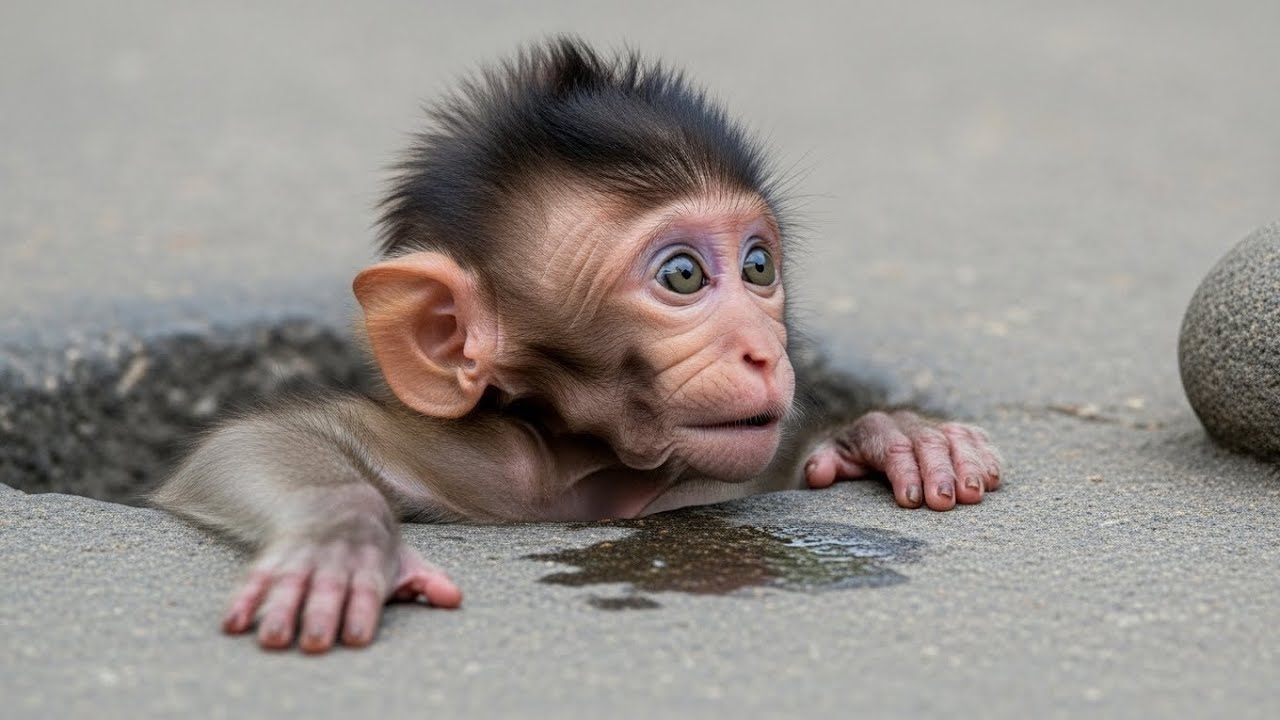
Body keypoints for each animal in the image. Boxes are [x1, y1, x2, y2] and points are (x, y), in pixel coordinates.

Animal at [152, 37, 1002, 654]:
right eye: (683, 275)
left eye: (760, 267)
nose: (764, 349)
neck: (595, 470)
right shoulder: (483, 459)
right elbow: (248, 444)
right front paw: (340, 543)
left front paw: (897, 436)